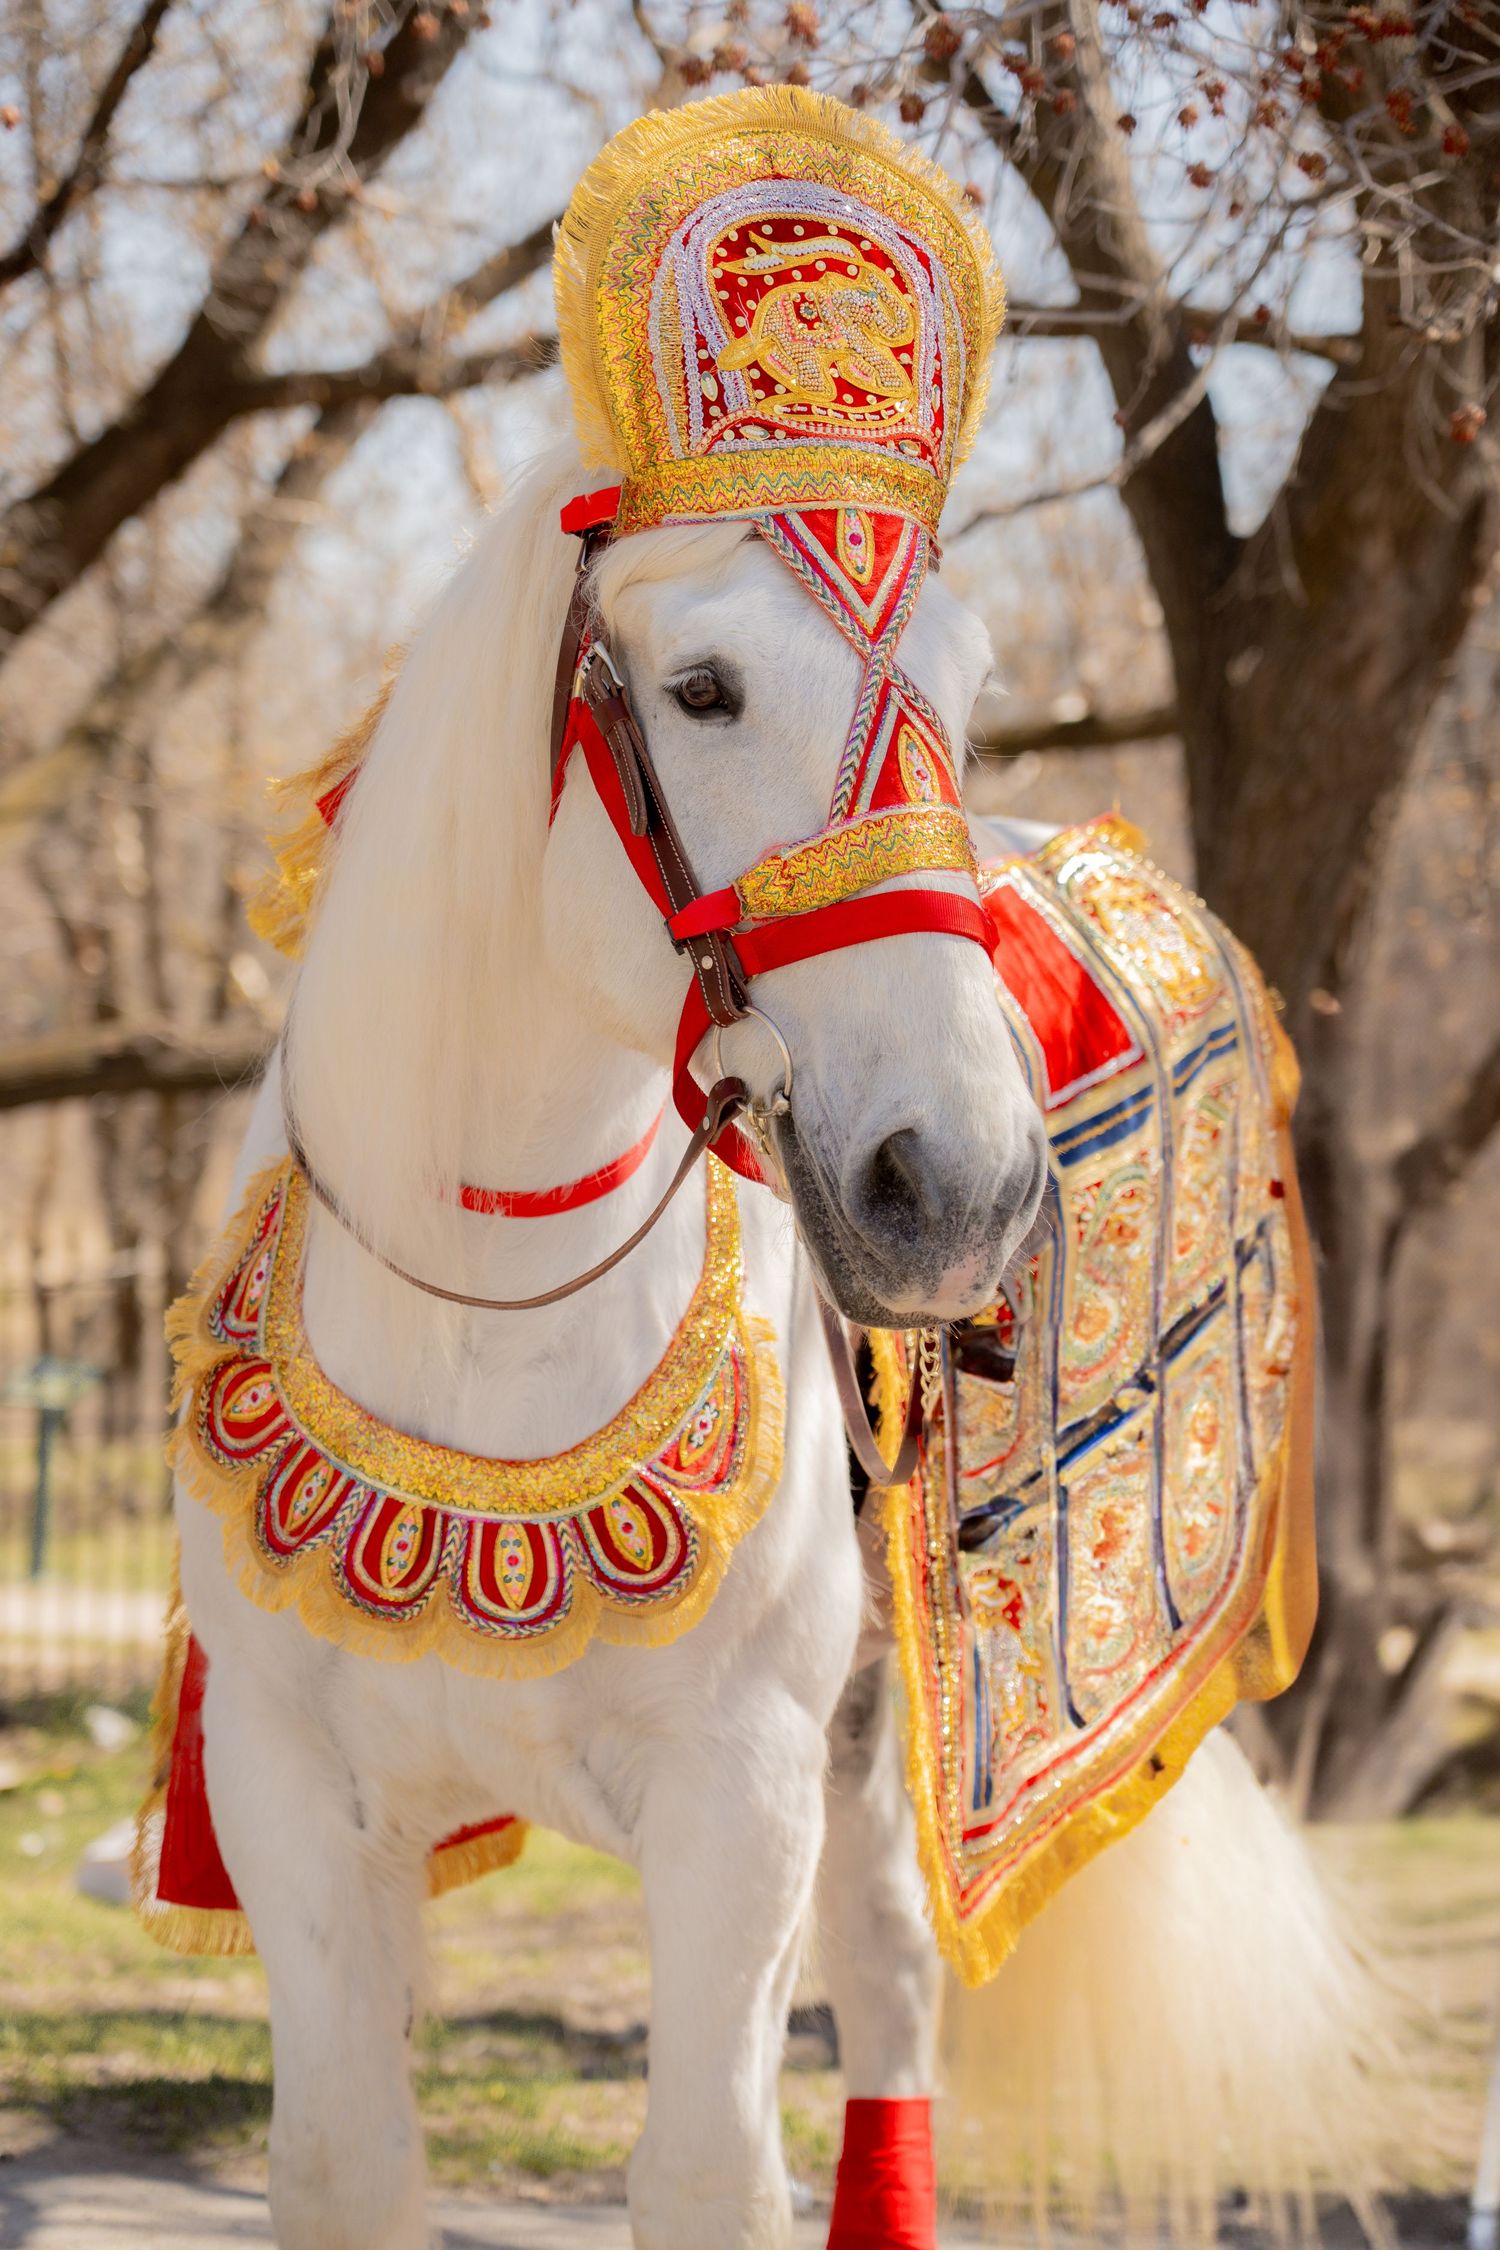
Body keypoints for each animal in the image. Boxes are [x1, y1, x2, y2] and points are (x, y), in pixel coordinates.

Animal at [173, 439, 1386, 2250]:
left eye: (967, 690)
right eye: (703, 688)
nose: (962, 1190)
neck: (481, 1324)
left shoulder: (740, 1795)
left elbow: (708, 2175)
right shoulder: (293, 1802)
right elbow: (343, 2165)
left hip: (885, 1734)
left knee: (888, 1982)